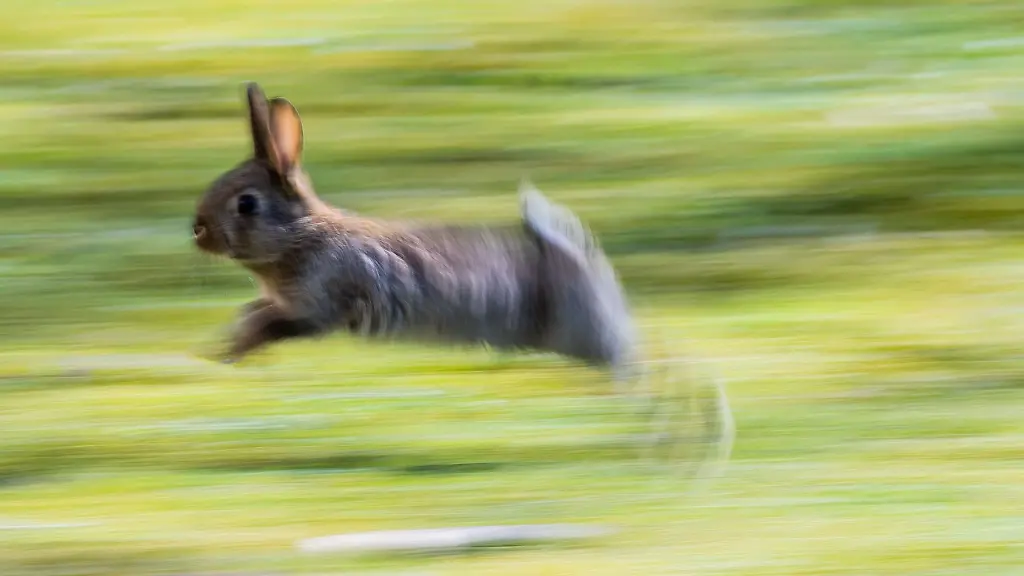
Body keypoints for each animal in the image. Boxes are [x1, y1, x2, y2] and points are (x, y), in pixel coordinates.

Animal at [192, 83, 733, 469]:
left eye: (246, 204)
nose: (197, 231)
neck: (300, 234)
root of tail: (578, 261)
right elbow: (254, 314)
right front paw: (220, 348)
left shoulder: (317, 307)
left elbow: (272, 326)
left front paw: (231, 353)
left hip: (589, 339)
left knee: (652, 369)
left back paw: (693, 433)